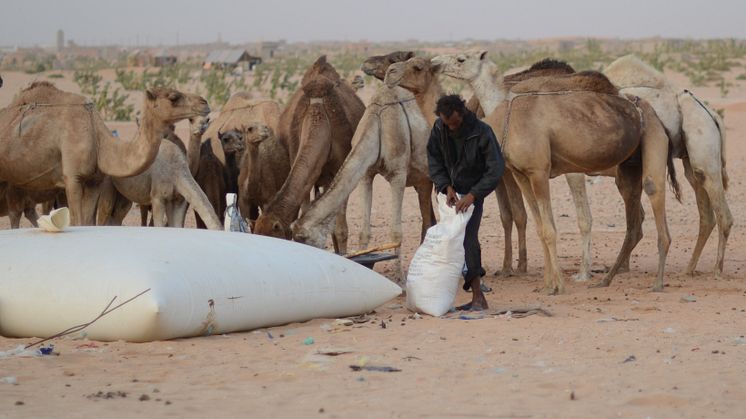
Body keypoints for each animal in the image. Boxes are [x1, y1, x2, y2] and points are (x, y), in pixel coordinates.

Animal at [0, 83, 208, 226]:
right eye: (173, 97)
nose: (204, 103)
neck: (99, 139)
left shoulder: (94, 181)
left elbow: (87, 222)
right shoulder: (72, 178)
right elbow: (76, 220)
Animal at [288, 59, 434, 284]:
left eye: (304, 240)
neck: (377, 124)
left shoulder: (398, 174)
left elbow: (395, 233)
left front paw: (400, 279)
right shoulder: (366, 174)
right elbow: (364, 232)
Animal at [430, 51, 680, 296]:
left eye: (461, 59)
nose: (435, 62)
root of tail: (653, 111)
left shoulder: (546, 171)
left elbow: (562, 225)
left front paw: (564, 282)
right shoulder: (521, 174)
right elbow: (539, 227)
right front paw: (548, 283)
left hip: (653, 141)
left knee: (654, 195)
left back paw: (656, 282)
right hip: (627, 168)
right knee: (636, 220)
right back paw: (608, 278)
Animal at [600, 55, 728, 278]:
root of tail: (711, 114)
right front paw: (622, 268)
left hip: (703, 144)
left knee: (722, 216)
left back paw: (717, 271)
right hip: (692, 162)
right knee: (707, 215)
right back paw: (689, 269)